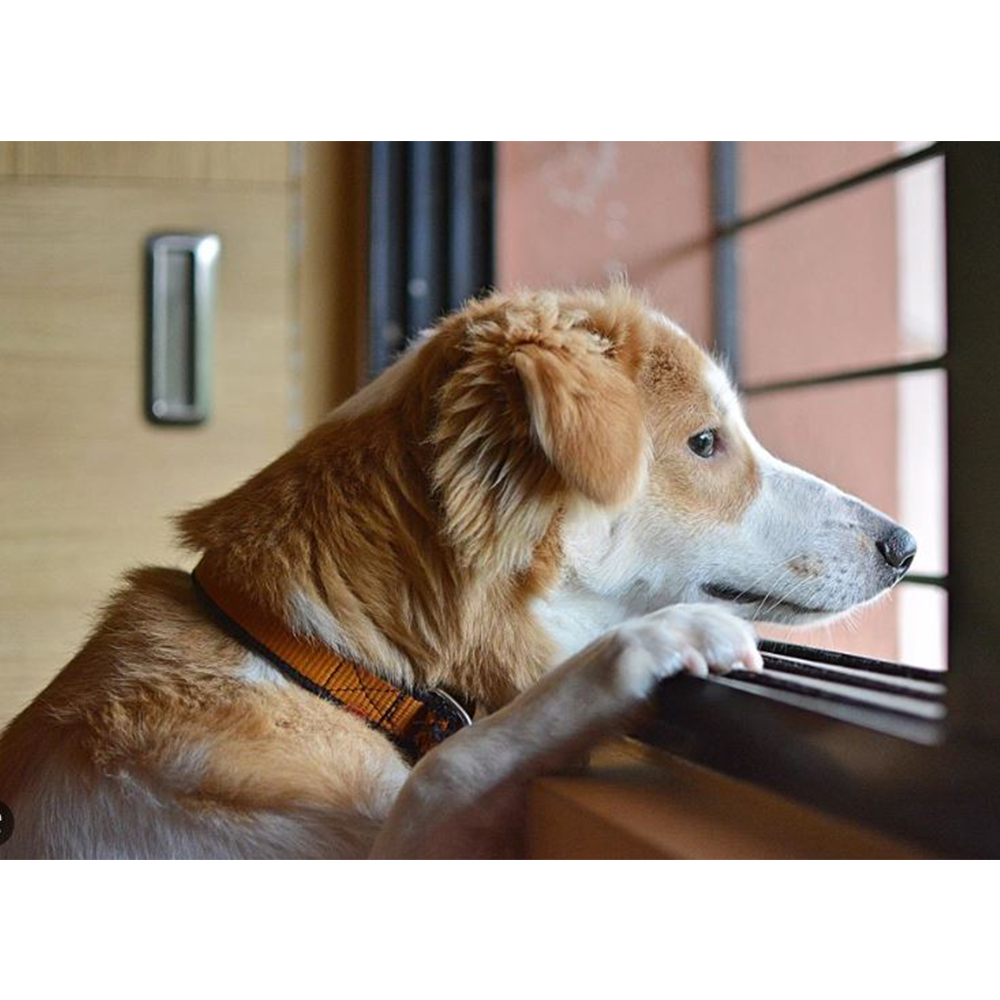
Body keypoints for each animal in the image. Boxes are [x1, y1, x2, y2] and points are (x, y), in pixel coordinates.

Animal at [0, 286, 916, 856]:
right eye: (704, 442)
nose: (905, 546)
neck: (314, 658)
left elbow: (450, 765)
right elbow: (455, 765)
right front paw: (647, 647)